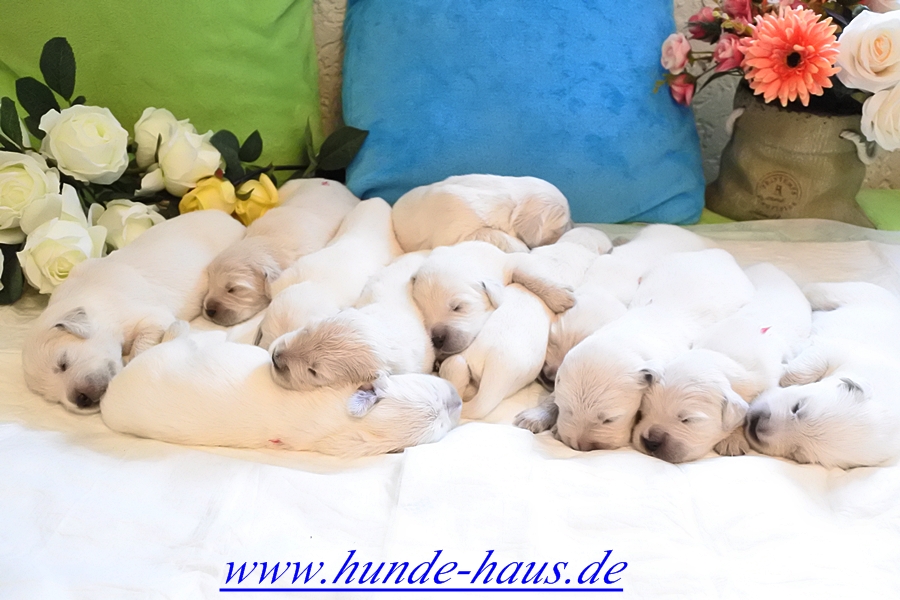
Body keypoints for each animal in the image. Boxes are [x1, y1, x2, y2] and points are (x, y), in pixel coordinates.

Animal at [411, 240, 576, 360]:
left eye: (458, 307)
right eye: (424, 315)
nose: (437, 339)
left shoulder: (508, 263)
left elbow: (526, 273)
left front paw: (559, 295)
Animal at [516, 248, 755, 451]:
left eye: (610, 419)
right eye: (567, 409)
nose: (582, 446)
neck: (629, 333)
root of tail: (719, 252)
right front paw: (537, 416)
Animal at [745, 282, 900, 468]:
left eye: (797, 454)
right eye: (797, 407)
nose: (755, 426)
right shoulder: (841, 350)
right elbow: (805, 366)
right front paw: (783, 372)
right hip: (851, 293)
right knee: (818, 291)